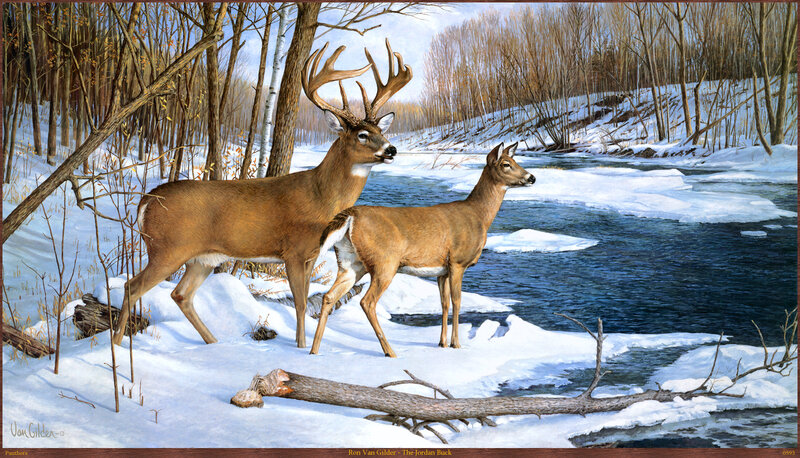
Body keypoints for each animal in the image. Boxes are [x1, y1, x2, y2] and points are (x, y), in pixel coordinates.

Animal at [111, 39, 412, 348]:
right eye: (362, 135)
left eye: (381, 131)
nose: (391, 149)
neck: (321, 197)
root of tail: (145, 202)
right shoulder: (293, 250)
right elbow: (301, 304)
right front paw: (301, 348)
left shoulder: (311, 254)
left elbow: (305, 302)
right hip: (168, 249)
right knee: (132, 286)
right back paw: (117, 345)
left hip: (202, 257)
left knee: (180, 294)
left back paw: (213, 342)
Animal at [310, 142, 535, 357]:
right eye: (506, 164)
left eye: (516, 161)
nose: (531, 177)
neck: (479, 216)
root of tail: (350, 215)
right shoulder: (457, 262)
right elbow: (457, 301)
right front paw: (457, 344)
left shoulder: (442, 270)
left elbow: (444, 303)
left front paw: (442, 343)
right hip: (385, 262)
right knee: (367, 301)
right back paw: (390, 351)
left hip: (351, 263)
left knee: (329, 296)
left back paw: (314, 351)